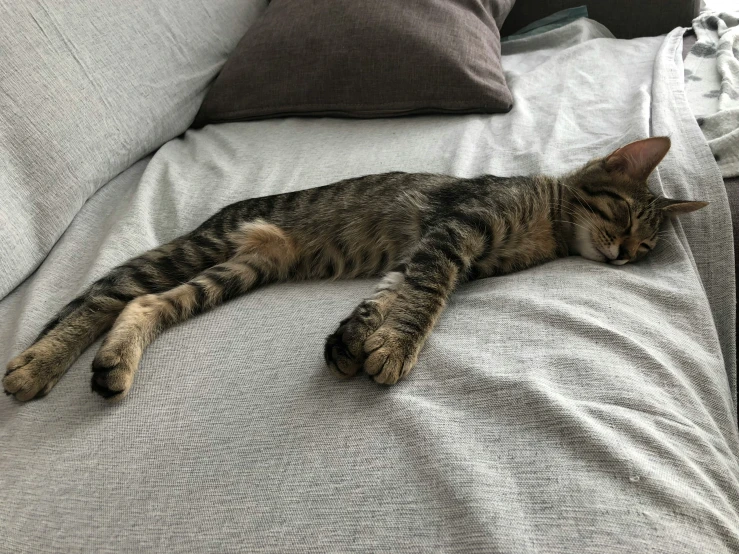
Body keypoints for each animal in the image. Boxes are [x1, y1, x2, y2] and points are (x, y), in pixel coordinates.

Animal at [4, 135, 704, 398]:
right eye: (624, 215)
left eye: (648, 247)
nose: (624, 255)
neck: (546, 224)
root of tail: (223, 214)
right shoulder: (454, 232)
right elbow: (426, 298)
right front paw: (397, 347)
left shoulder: (428, 253)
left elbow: (390, 295)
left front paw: (360, 338)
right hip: (199, 249)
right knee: (105, 295)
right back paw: (39, 363)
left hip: (239, 271)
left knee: (143, 303)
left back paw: (115, 365)